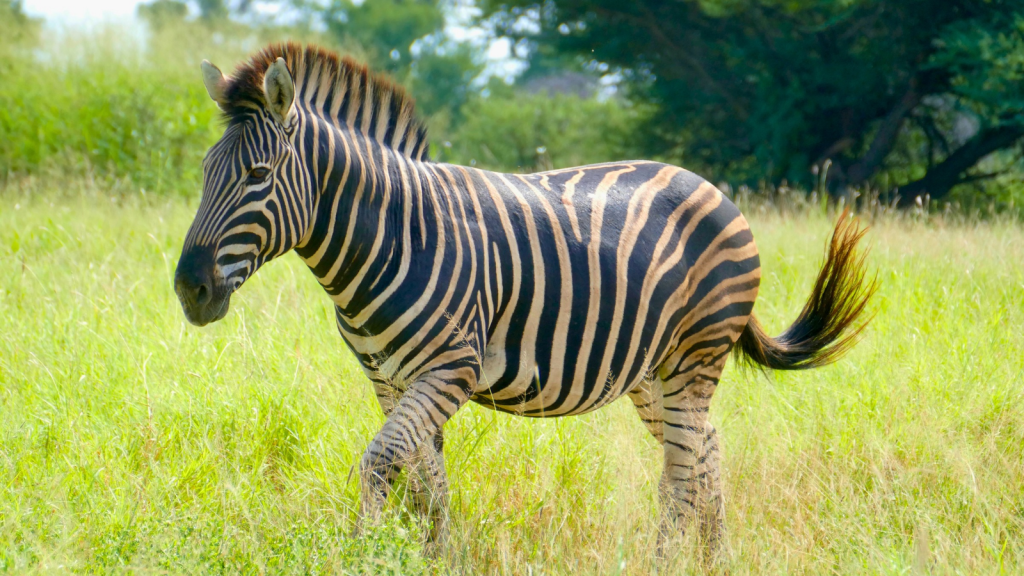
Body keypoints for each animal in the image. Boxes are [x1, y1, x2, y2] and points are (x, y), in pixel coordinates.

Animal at [174, 43, 872, 557]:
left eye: (258, 177)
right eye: (206, 173)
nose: (189, 289)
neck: (391, 235)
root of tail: (714, 189)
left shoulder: (449, 368)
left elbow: (380, 462)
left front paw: (361, 554)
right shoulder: (388, 377)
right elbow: (425, 480)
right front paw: (438, 558)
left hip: (693, 358)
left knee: (682, 473)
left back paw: (667, 562)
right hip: (653, 373)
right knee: (706, 452)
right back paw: (713, 559)